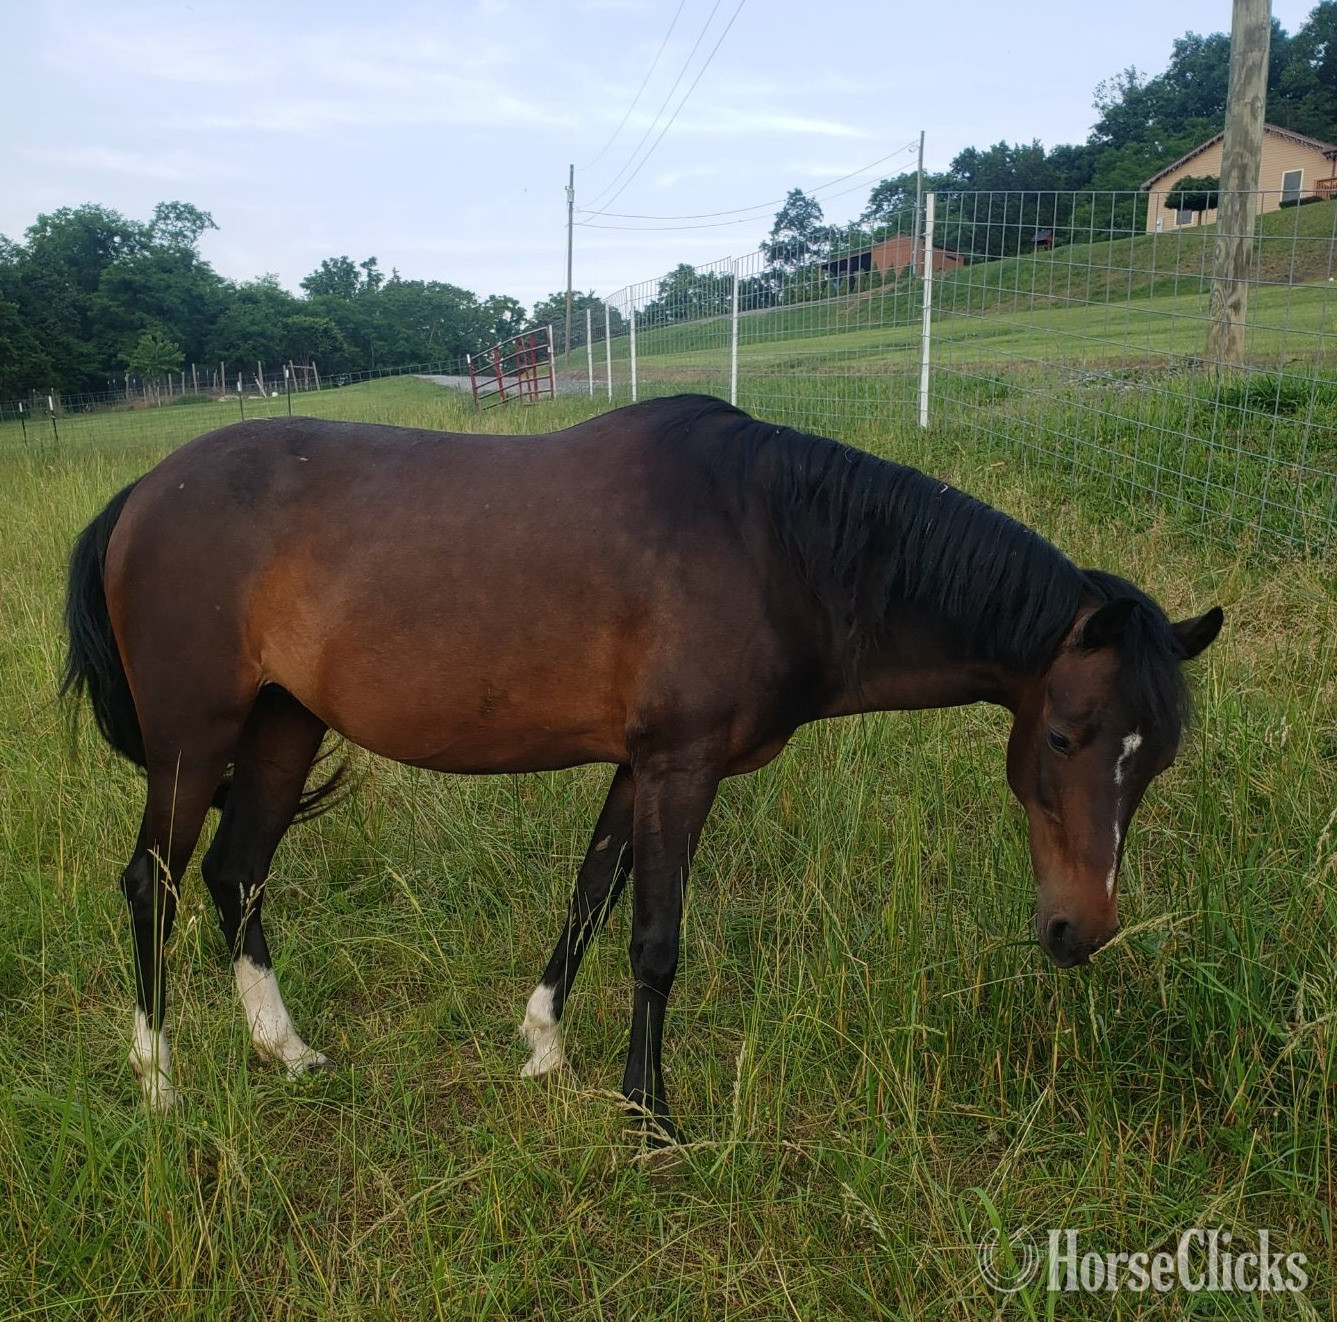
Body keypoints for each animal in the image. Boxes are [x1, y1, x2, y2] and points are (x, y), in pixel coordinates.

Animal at [62, 394, 1222, 1139]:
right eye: (1063, 737)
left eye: (1157, 759)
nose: (1080, 930)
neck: (776, 543)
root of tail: (143, 491)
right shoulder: (680, 765)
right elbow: (655, 941)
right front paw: (649, 1112)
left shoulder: (637, 767)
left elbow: (589, 897)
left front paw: (544, 1046)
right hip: (193, 740)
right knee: (154, 882)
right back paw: (159, 1081)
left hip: (280, 725)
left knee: (237, 874)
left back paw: (286, 1050)